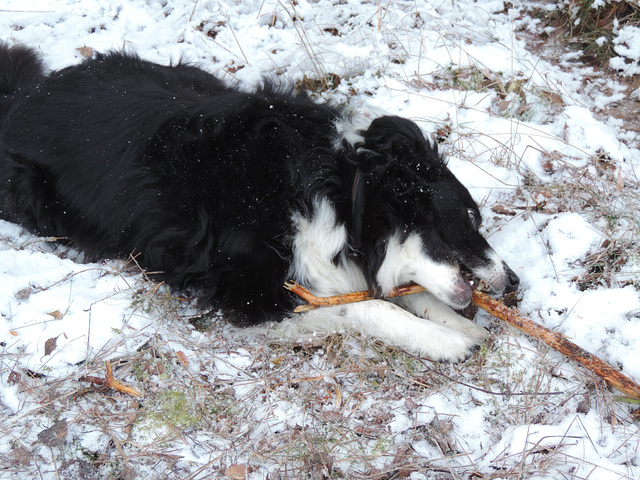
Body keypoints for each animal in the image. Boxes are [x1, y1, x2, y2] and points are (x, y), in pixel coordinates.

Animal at [0, 45, 516, 362]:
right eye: (471, 216)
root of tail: (25, 95)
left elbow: (401, 293)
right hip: (35, 199)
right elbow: (359, 307)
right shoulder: (250, 292)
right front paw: (445, 340)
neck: (345, 197)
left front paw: (462, 326)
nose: (514, 283)